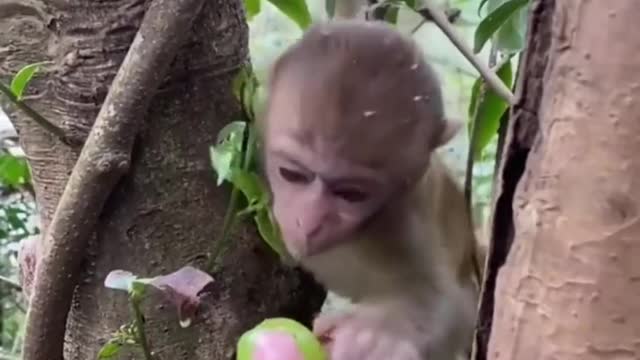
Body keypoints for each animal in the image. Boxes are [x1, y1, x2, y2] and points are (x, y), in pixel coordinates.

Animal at [258, 20, 478, 360]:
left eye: (351, 194)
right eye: (292, 174)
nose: (308, 223)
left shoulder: (403, 221)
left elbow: (449, 303)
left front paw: (377, 335)